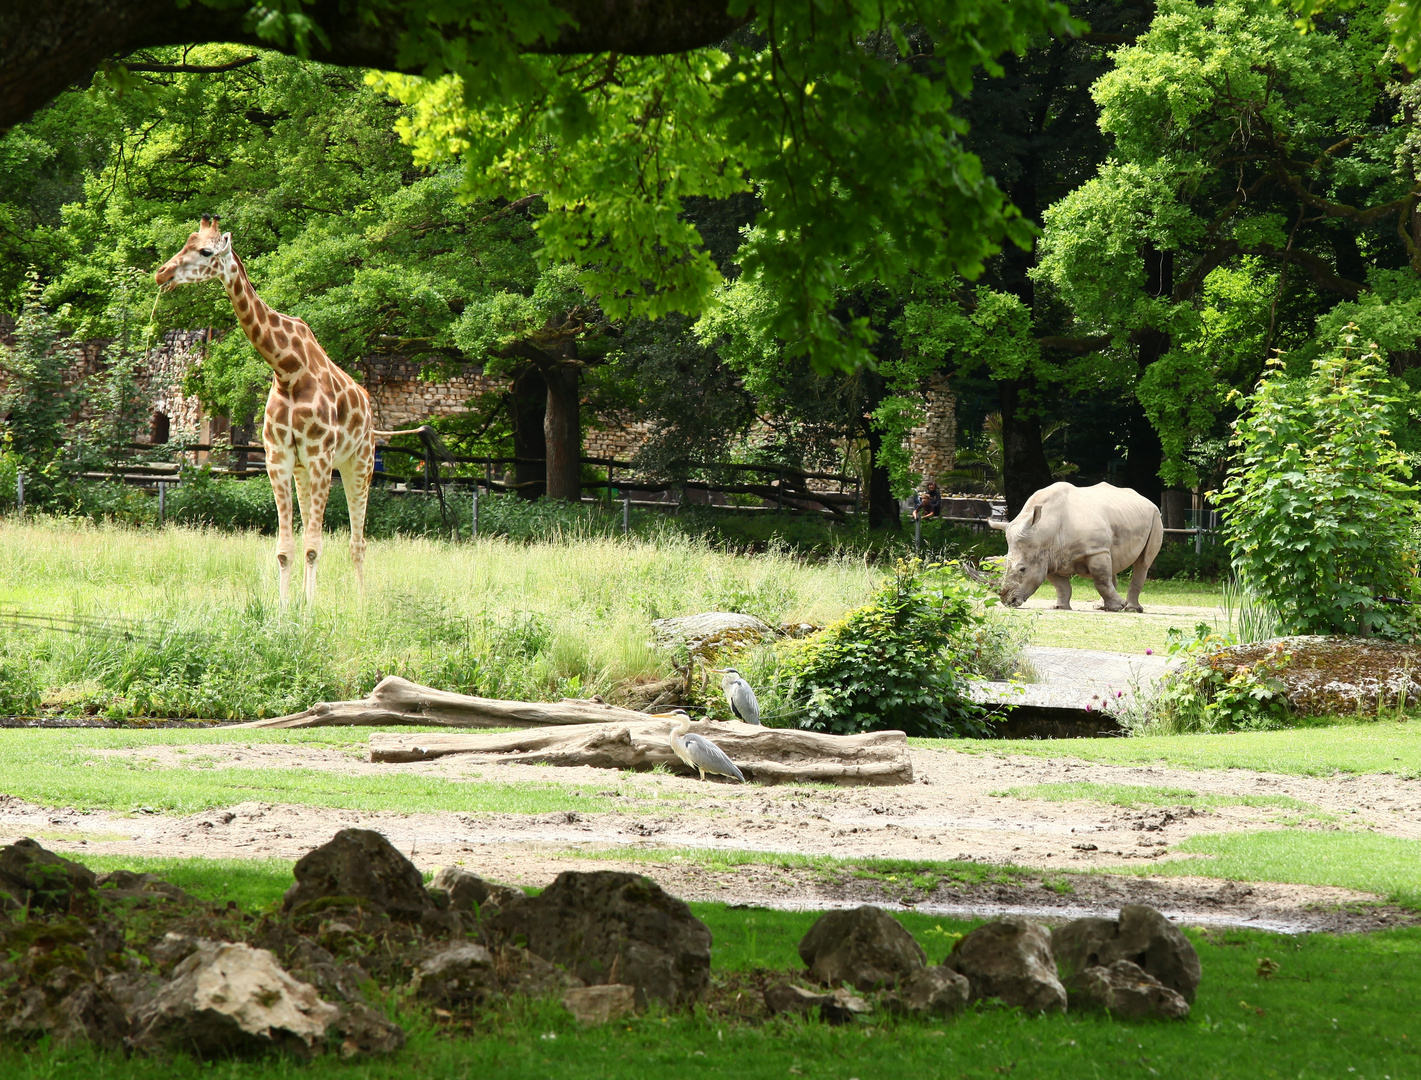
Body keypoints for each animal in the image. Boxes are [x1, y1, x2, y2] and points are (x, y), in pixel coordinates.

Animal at [155, 214, 414, 602]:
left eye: (205, 252)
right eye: (185, 243)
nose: (162, 274)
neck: (288, 370)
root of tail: (370, 409)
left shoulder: (321, 457)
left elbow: (314, 545)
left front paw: (309, 609)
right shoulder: (279, 458)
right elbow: (285, 547)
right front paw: (285, 607)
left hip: (360, 464)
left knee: (357, 542)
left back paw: (360, 601)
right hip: (306, 470)